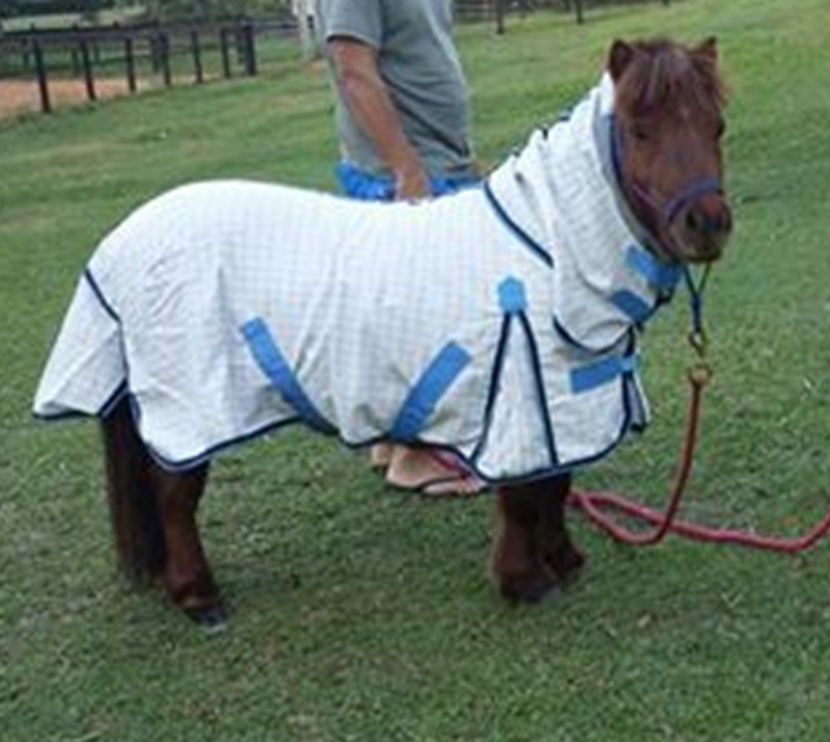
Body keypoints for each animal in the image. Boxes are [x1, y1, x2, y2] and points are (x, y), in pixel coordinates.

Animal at [34, 37, 731, 627]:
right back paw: (199, 596)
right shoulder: (521, 400)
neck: (548, 248)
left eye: (716, 126)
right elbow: (523, 495)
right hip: (192, 404)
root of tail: (122, 240)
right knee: (176, 496)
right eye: (639, 129)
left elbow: (557, 484)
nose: (707, 224)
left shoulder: (567, 401)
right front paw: (523, 581)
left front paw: (563, 561)